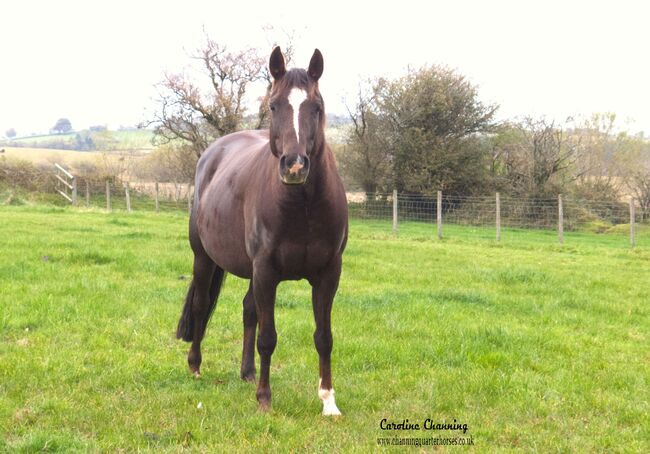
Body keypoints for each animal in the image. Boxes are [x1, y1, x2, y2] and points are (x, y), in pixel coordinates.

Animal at [175, 47, 346, 414]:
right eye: (273, 106)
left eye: (317, 107)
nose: (294, 166)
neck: (302, 208)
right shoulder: (266, 270)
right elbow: (268, 338)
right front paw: (265, 400)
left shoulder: (328, 274)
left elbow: (324, 337)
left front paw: (328, 401)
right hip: (204, 258)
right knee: (201, 305)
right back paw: (195, 366)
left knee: (248, 310)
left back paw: (247, 373)